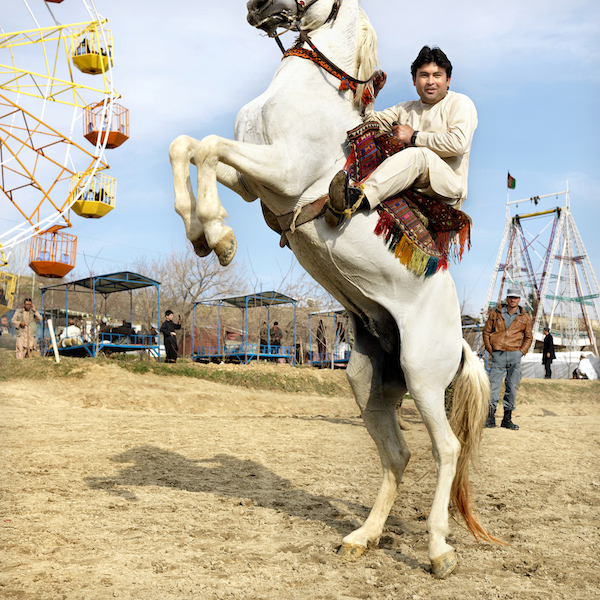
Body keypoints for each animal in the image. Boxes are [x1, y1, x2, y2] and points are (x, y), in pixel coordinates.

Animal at [169, 0, 492, 580]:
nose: (254, 8)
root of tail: (461, 342)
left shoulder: (284, 171)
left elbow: (206, 147)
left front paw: (218, 237)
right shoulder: (253, 182)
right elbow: (188, 145)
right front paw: (203, 232)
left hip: (424, 378)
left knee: (447, 450)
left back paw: (439, 550)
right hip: (370, 386)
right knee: (398, 455)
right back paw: (362, 537)